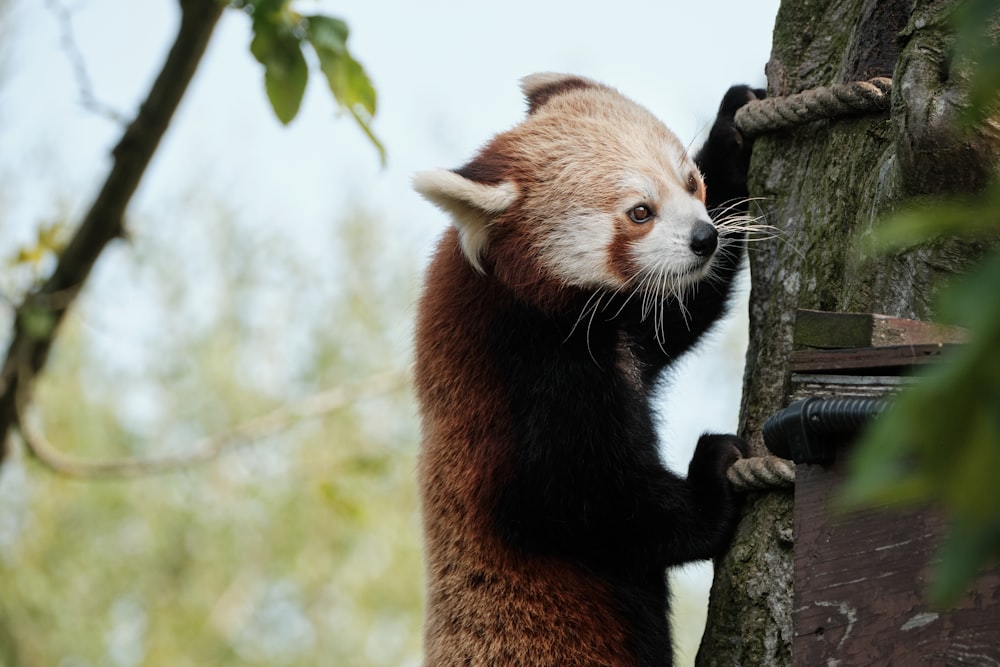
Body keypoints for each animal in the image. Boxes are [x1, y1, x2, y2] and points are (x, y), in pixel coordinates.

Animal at [410, 74, 760, 667]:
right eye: (640, 212)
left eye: (692, 183)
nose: (705, 238)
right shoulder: (529, 365)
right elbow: (579, 501)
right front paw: (712, 483)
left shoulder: (622, 326)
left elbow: (679, 313)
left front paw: (731, 128)